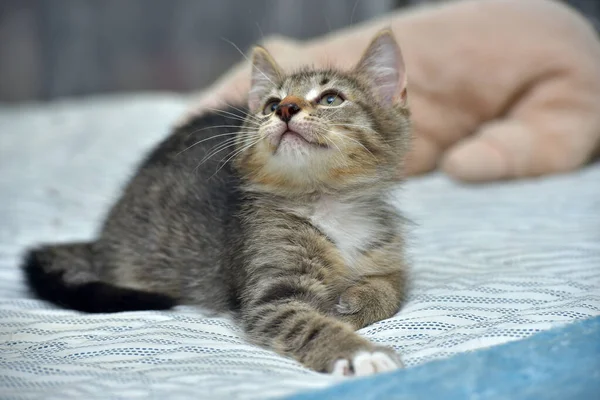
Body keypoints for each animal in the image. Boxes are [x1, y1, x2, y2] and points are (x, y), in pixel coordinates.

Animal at [25, 29, 414, 376]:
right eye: (271, 105)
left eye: (331, 99)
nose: (286, 109)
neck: (328, 203)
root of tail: (104, 239)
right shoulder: (270, 294)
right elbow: (308, 324)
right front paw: (358, 353)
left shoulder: (386, 253)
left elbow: (393, 287)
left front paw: (357, 302)